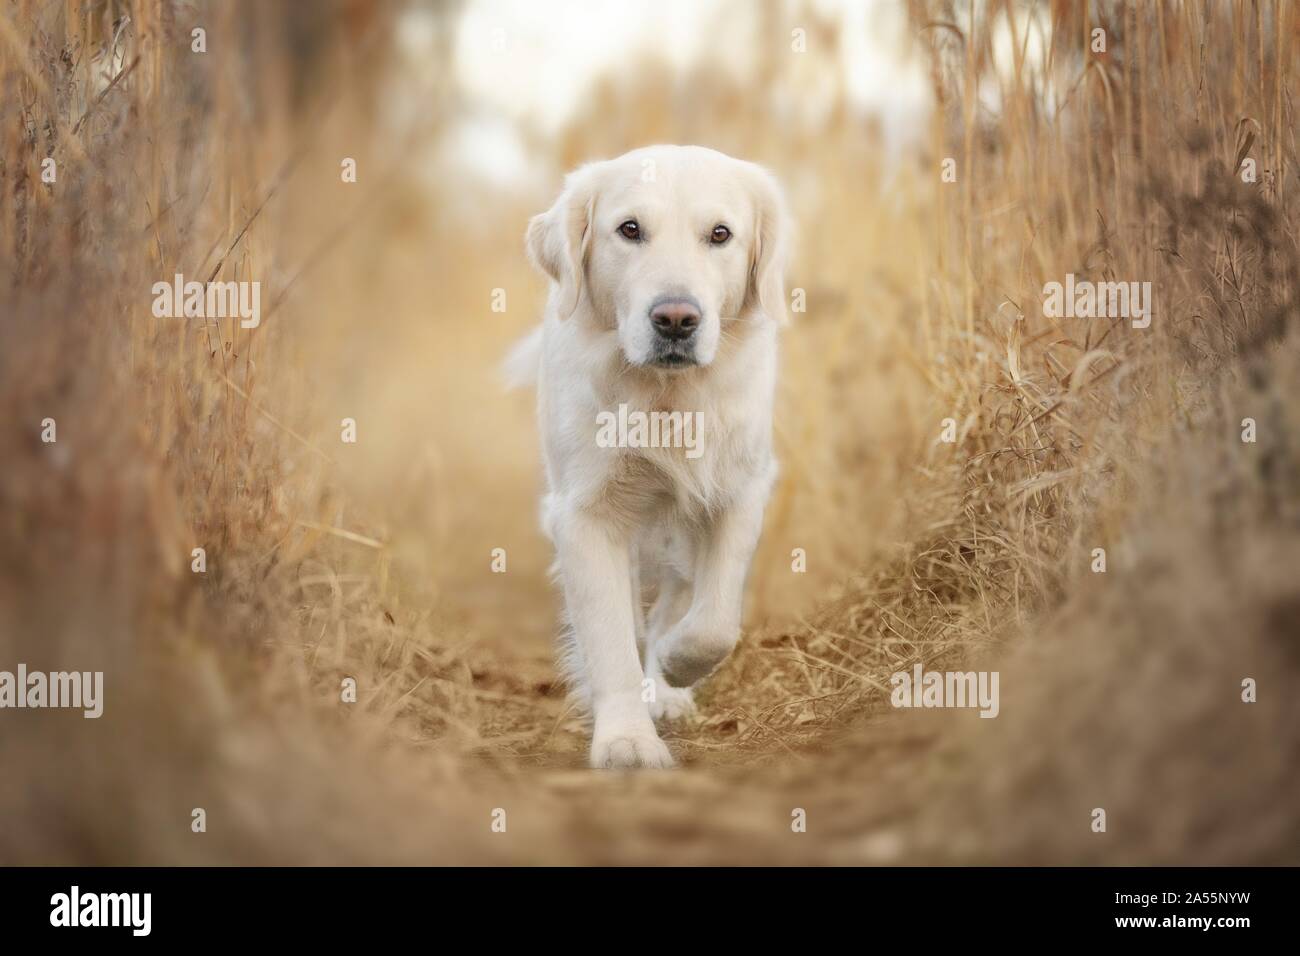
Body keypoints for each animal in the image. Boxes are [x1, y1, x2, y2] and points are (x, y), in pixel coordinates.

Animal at [509, 143, 790, 770]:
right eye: (629, 229)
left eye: (720, 234)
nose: (676, 320)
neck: (666, 398)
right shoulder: (586, 514)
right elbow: (613, 637)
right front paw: (627, 740)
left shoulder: (740, 489)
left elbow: (714, 622)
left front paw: (677, 666)